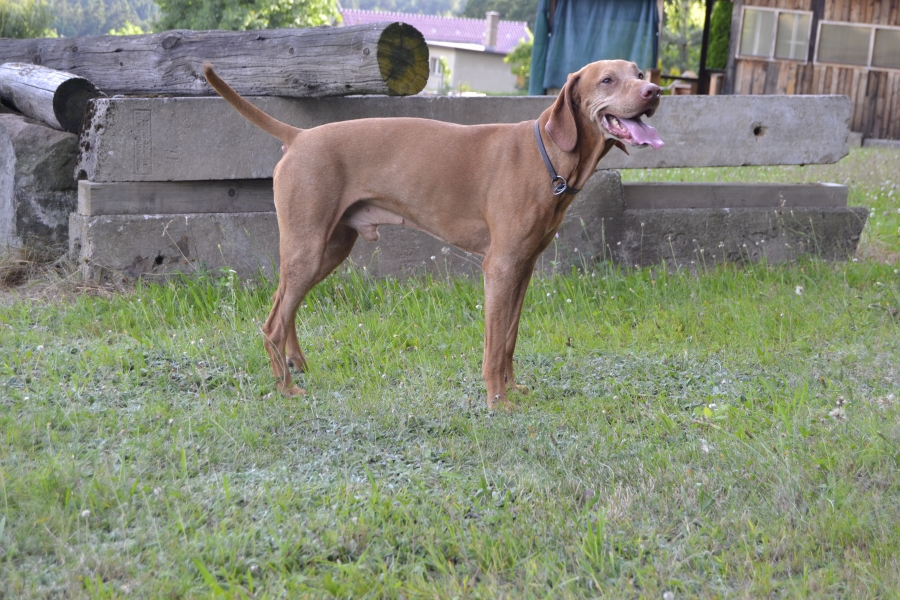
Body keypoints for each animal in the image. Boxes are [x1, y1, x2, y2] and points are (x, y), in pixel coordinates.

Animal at [203, 59, 662, 409]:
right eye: (607, 79)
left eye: (640, 73)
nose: (654, 91)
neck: (548, 154)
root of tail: (298, 136)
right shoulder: (499, 268)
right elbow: (493, 346)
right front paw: (498, 401)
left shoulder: (523, 268)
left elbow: (509, 339)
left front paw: (513, 388)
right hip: (308, 248)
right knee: (272, 324)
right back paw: (285, 387)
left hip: (327, 250)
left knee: (285, 308)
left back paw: (296, 364)